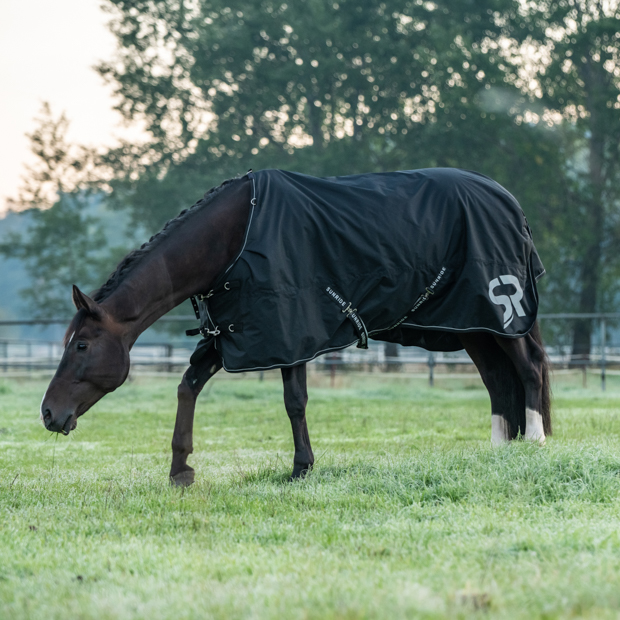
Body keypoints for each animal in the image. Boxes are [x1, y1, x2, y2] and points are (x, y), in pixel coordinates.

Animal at [40, 168, 552, 484]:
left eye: (80, 346)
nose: (47, 414)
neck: (236, 236)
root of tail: (509, 201)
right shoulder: (234, 334)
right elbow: (187, 386)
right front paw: (180, 470)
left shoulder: (289, 332)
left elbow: (294, 402)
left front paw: (301, 468)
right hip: (473, 326)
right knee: (497, 380)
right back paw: (499, 450)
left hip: (501, 311)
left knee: (529, 369)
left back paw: (536, 442)